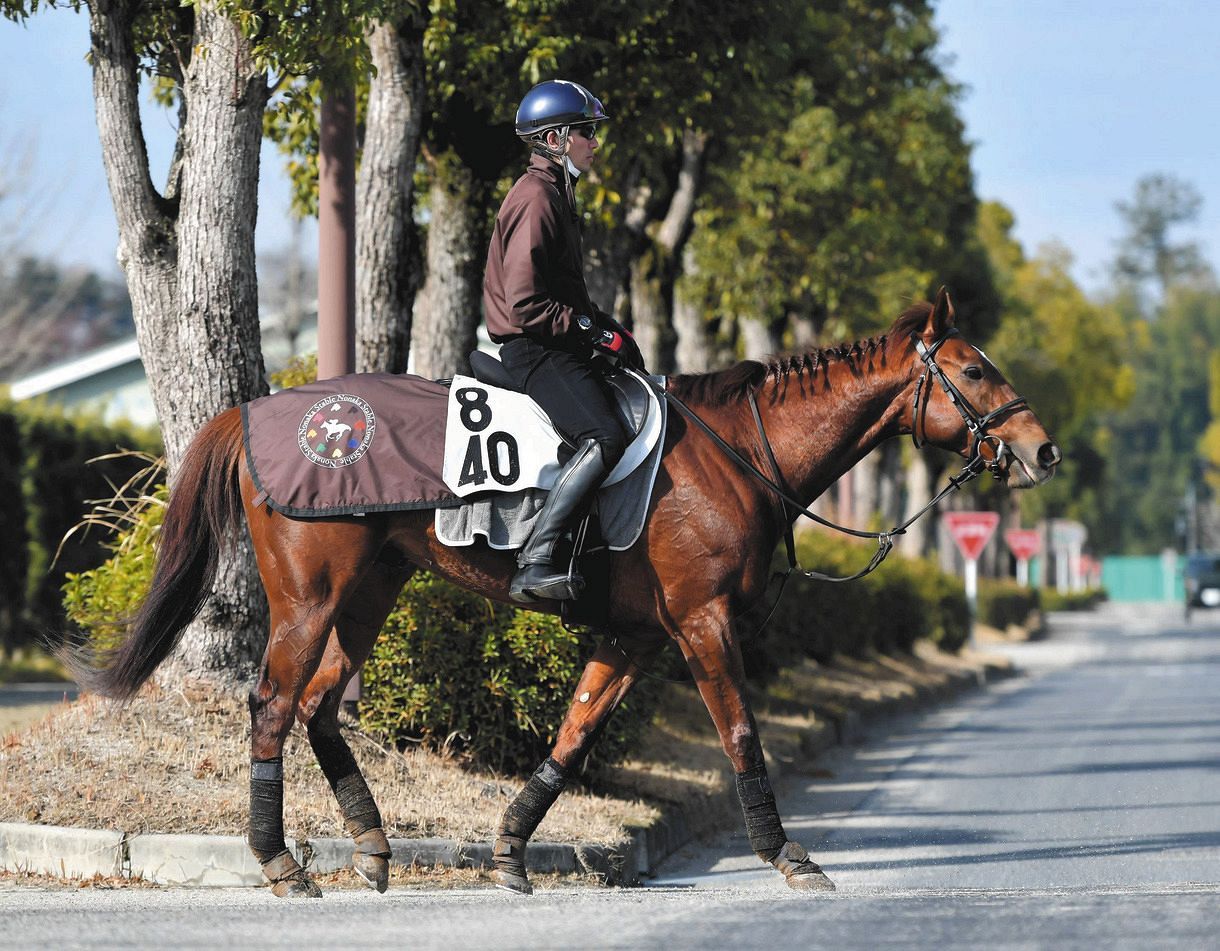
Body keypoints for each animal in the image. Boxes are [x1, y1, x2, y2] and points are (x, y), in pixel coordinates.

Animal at [73, 291, 1058, 897]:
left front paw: (511, 848)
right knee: (274, 703)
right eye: (974, 370)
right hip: (311, 595)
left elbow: (573, 738)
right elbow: (742, 734)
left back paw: (373, 846)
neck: (738, 451)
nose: (1041, 449)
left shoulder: (633, 636)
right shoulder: (702, 625)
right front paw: (788, 855)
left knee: (318, 705)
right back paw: (281, 861)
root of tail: (262, 412)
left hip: (371, 588)